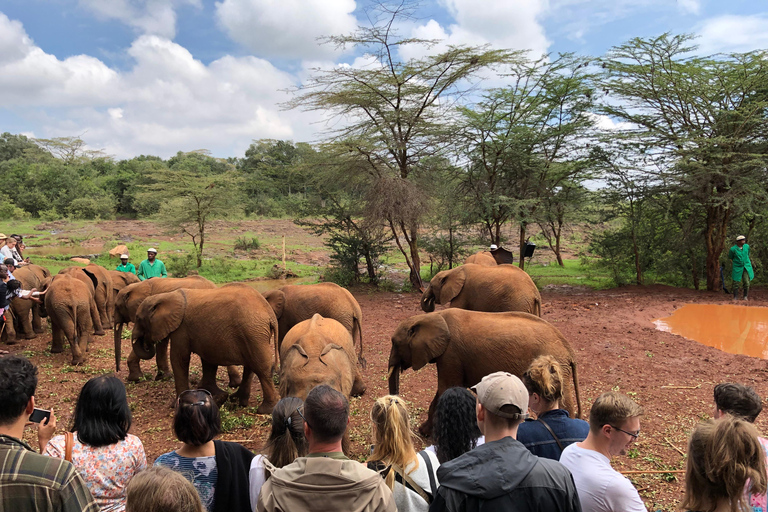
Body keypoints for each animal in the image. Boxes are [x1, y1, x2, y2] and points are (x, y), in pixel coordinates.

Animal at [130, 284, 280, 412]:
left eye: (138, 318)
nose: (147, 343)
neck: (166, 296)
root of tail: (269, 313)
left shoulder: (181, 329)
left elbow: (179, 359)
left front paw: (176, 405)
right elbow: (208, 360)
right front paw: (216, 397)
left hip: (253, 332)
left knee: (262, 369)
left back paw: (265, 410)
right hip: (253, 334)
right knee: (251, 367)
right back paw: (237, 401)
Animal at [390, 308, 584, 436]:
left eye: (394, 343)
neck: (432, 316)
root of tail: (569, 350)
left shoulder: (451, 354)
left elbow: (446, 388)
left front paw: (425, 433)